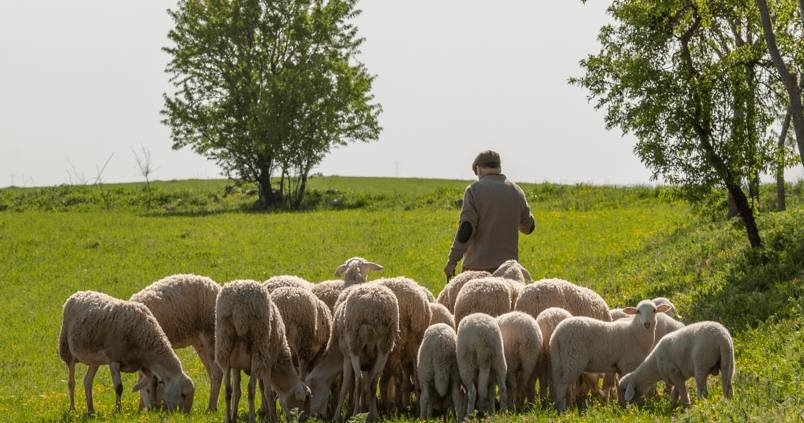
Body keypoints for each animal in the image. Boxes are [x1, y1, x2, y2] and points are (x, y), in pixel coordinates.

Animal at [59, 292, 195, 414]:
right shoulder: (114, 359)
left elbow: (152, 383)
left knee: (87, 382)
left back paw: (91, 410)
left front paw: (152, 407)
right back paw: (72, 409)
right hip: (67, 349)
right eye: (183, 394)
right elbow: (119, 387)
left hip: (94, 360)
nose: (183, 415)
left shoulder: (143, 364)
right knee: (71, 382)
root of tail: (77, 294)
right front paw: (118, 410)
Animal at [129, 274, 221, 410]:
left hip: (211, 333)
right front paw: (141, 408)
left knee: (217, 372)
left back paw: (211, 407)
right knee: (211, 372)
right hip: (199, 342)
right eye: (148, 391)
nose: (152, 409)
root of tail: (215, 285)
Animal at [214, 282, 310, 423]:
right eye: (303, 402)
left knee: (227, 389)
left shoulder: (236, 365)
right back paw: (252, 418)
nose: (304, 420)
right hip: (258, 348)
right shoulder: (268, 363)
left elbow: (237, 391)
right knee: (250, 388)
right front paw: (273, 417)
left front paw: (233, 416)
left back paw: (228, 419)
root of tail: (238, 302)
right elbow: (268, 392)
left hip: (224, 345)